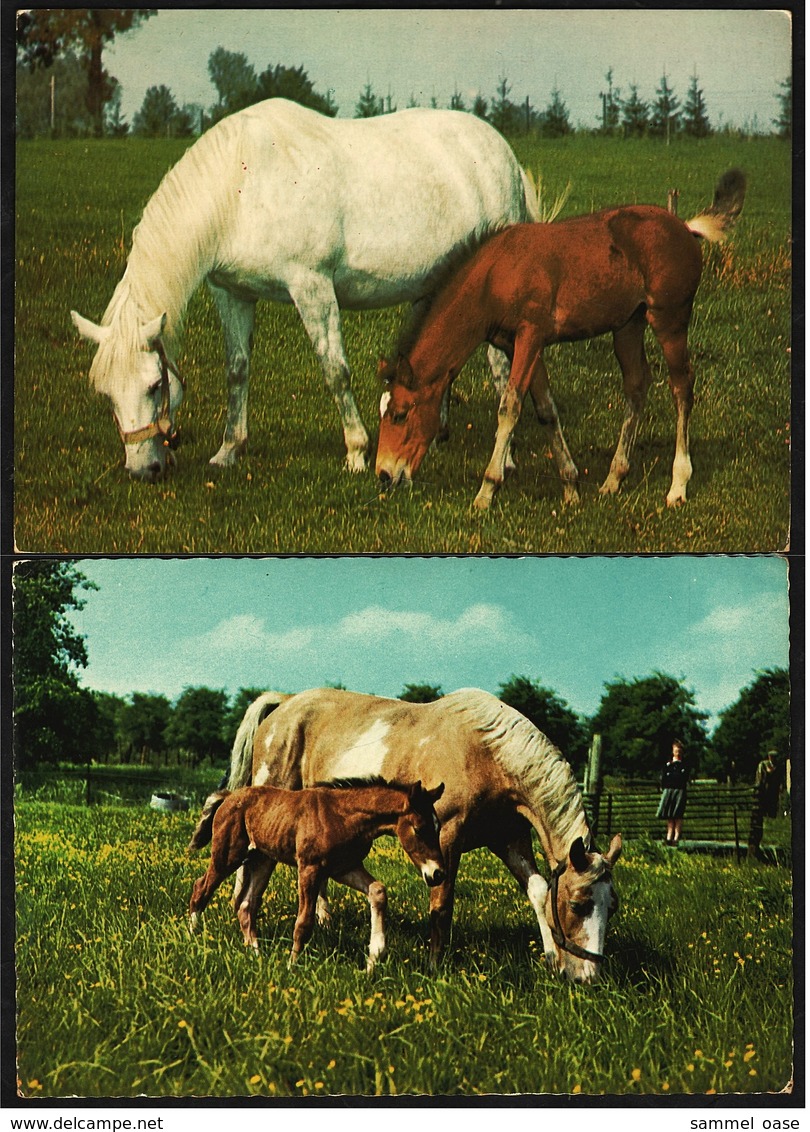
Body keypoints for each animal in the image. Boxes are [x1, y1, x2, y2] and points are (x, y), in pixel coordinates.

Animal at [69, 97, 538, 482]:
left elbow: (335, 371)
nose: (143, 470)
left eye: (154, 385)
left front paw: (356, 452)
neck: (242, 187)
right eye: (105, 393)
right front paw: (228, 451)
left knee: (501, 366)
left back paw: (507, 458)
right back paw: (437, 433)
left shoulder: (311, 287)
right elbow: (236, 369)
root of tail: (505, 156)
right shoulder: (232, 293)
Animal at [187, 778, 445, 973]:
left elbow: (378, 890)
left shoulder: (344, 868)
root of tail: (229, 796)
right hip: (228, 855)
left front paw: (373, 960)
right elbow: (304, 922)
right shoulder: (309, 868)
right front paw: (292, 966)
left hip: (262, 859)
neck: (343, 815)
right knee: (201, 888)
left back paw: (255, 953)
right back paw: (192, 937)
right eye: (419, 829)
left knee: (246, 906)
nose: (437, 874)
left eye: (438, 827)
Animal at [230, 683, 624, 978]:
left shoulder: (509, 840)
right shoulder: (447, 839)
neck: (488, 756)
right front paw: (435, 966)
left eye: (613, 906)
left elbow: (539, 891)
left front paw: (551, 958)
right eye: (578, 904)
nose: (587, 977)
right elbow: (442, 904)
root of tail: (285, 702)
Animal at [375, 166, 746, 509]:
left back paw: (677, 485)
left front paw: (486, 490)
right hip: (628, 325)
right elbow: (546, 411)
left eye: (400, 414)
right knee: (637, 385)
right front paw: (570, 487)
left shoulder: (530, 335)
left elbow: (510, 408)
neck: (496, 274)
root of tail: (684, 227)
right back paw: (613, 478)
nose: (384, 474)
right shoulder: (524, 344)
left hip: (669, 319)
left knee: (681, 387)